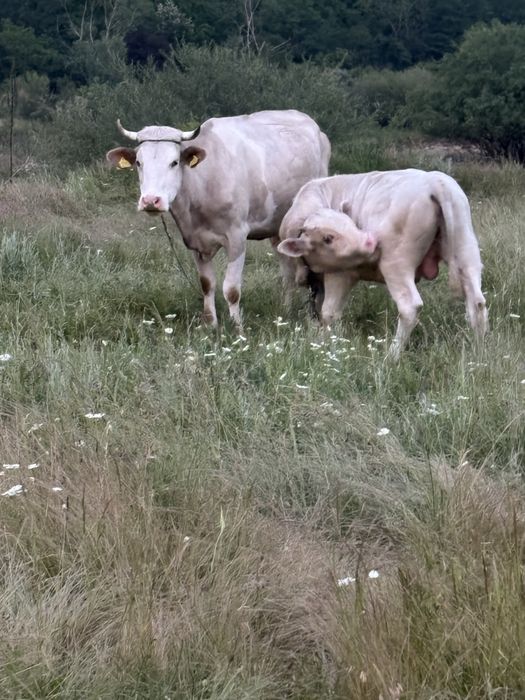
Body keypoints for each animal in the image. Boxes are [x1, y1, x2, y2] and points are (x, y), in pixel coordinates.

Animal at [106, 110, 330, 328]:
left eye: (174, 162)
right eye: (138, 162)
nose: (151, 200)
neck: (202, 182)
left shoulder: (237, 236)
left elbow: (231, 289)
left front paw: (237, 327)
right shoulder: (195, 240)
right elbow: (207, 284)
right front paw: (211, 325)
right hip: (277, 227)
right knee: (287, 271)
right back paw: (285, 311)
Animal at [277, 169, 488, 358]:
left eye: (350, 223)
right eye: (327, 238)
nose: (370, 241)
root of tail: (435, 182)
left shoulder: (340, 272)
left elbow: (329, 312)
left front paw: (324, 345)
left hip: (396, 264)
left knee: (409, 307)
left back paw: (392, 355)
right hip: (466, 250)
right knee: (477, 303)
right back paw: (478, 350)